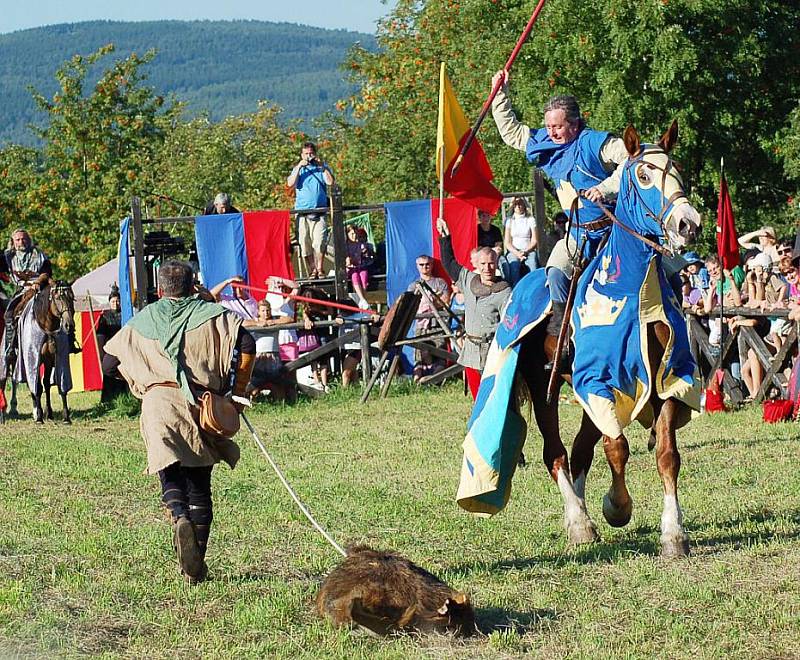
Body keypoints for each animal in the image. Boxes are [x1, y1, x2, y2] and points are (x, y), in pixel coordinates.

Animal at [0, 278, 76, 422]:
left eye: (72, 298)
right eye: (58, 297)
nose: (69, 325)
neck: (46, 325)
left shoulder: (51, 359)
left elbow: (48, 384)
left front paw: (59, 415)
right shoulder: (33, 357)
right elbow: (38, 386)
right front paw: (40, 415)